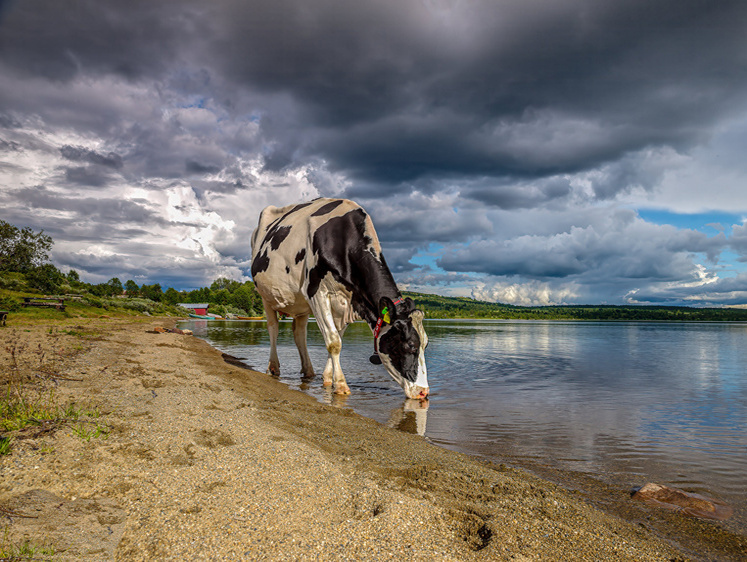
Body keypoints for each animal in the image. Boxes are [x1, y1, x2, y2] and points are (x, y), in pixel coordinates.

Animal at [250, 197, 430, 398]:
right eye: (410, 345)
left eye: (425, 345)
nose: (423, 392)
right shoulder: (316, 292)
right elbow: (334, 341)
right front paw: (341, 385)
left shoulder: (348, 303)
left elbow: (337, 338)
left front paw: (328, 379)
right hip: (266, 295)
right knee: (273, 328)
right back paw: (273, 367)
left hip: (300, 303)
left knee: (299, 333)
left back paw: (308, 371)